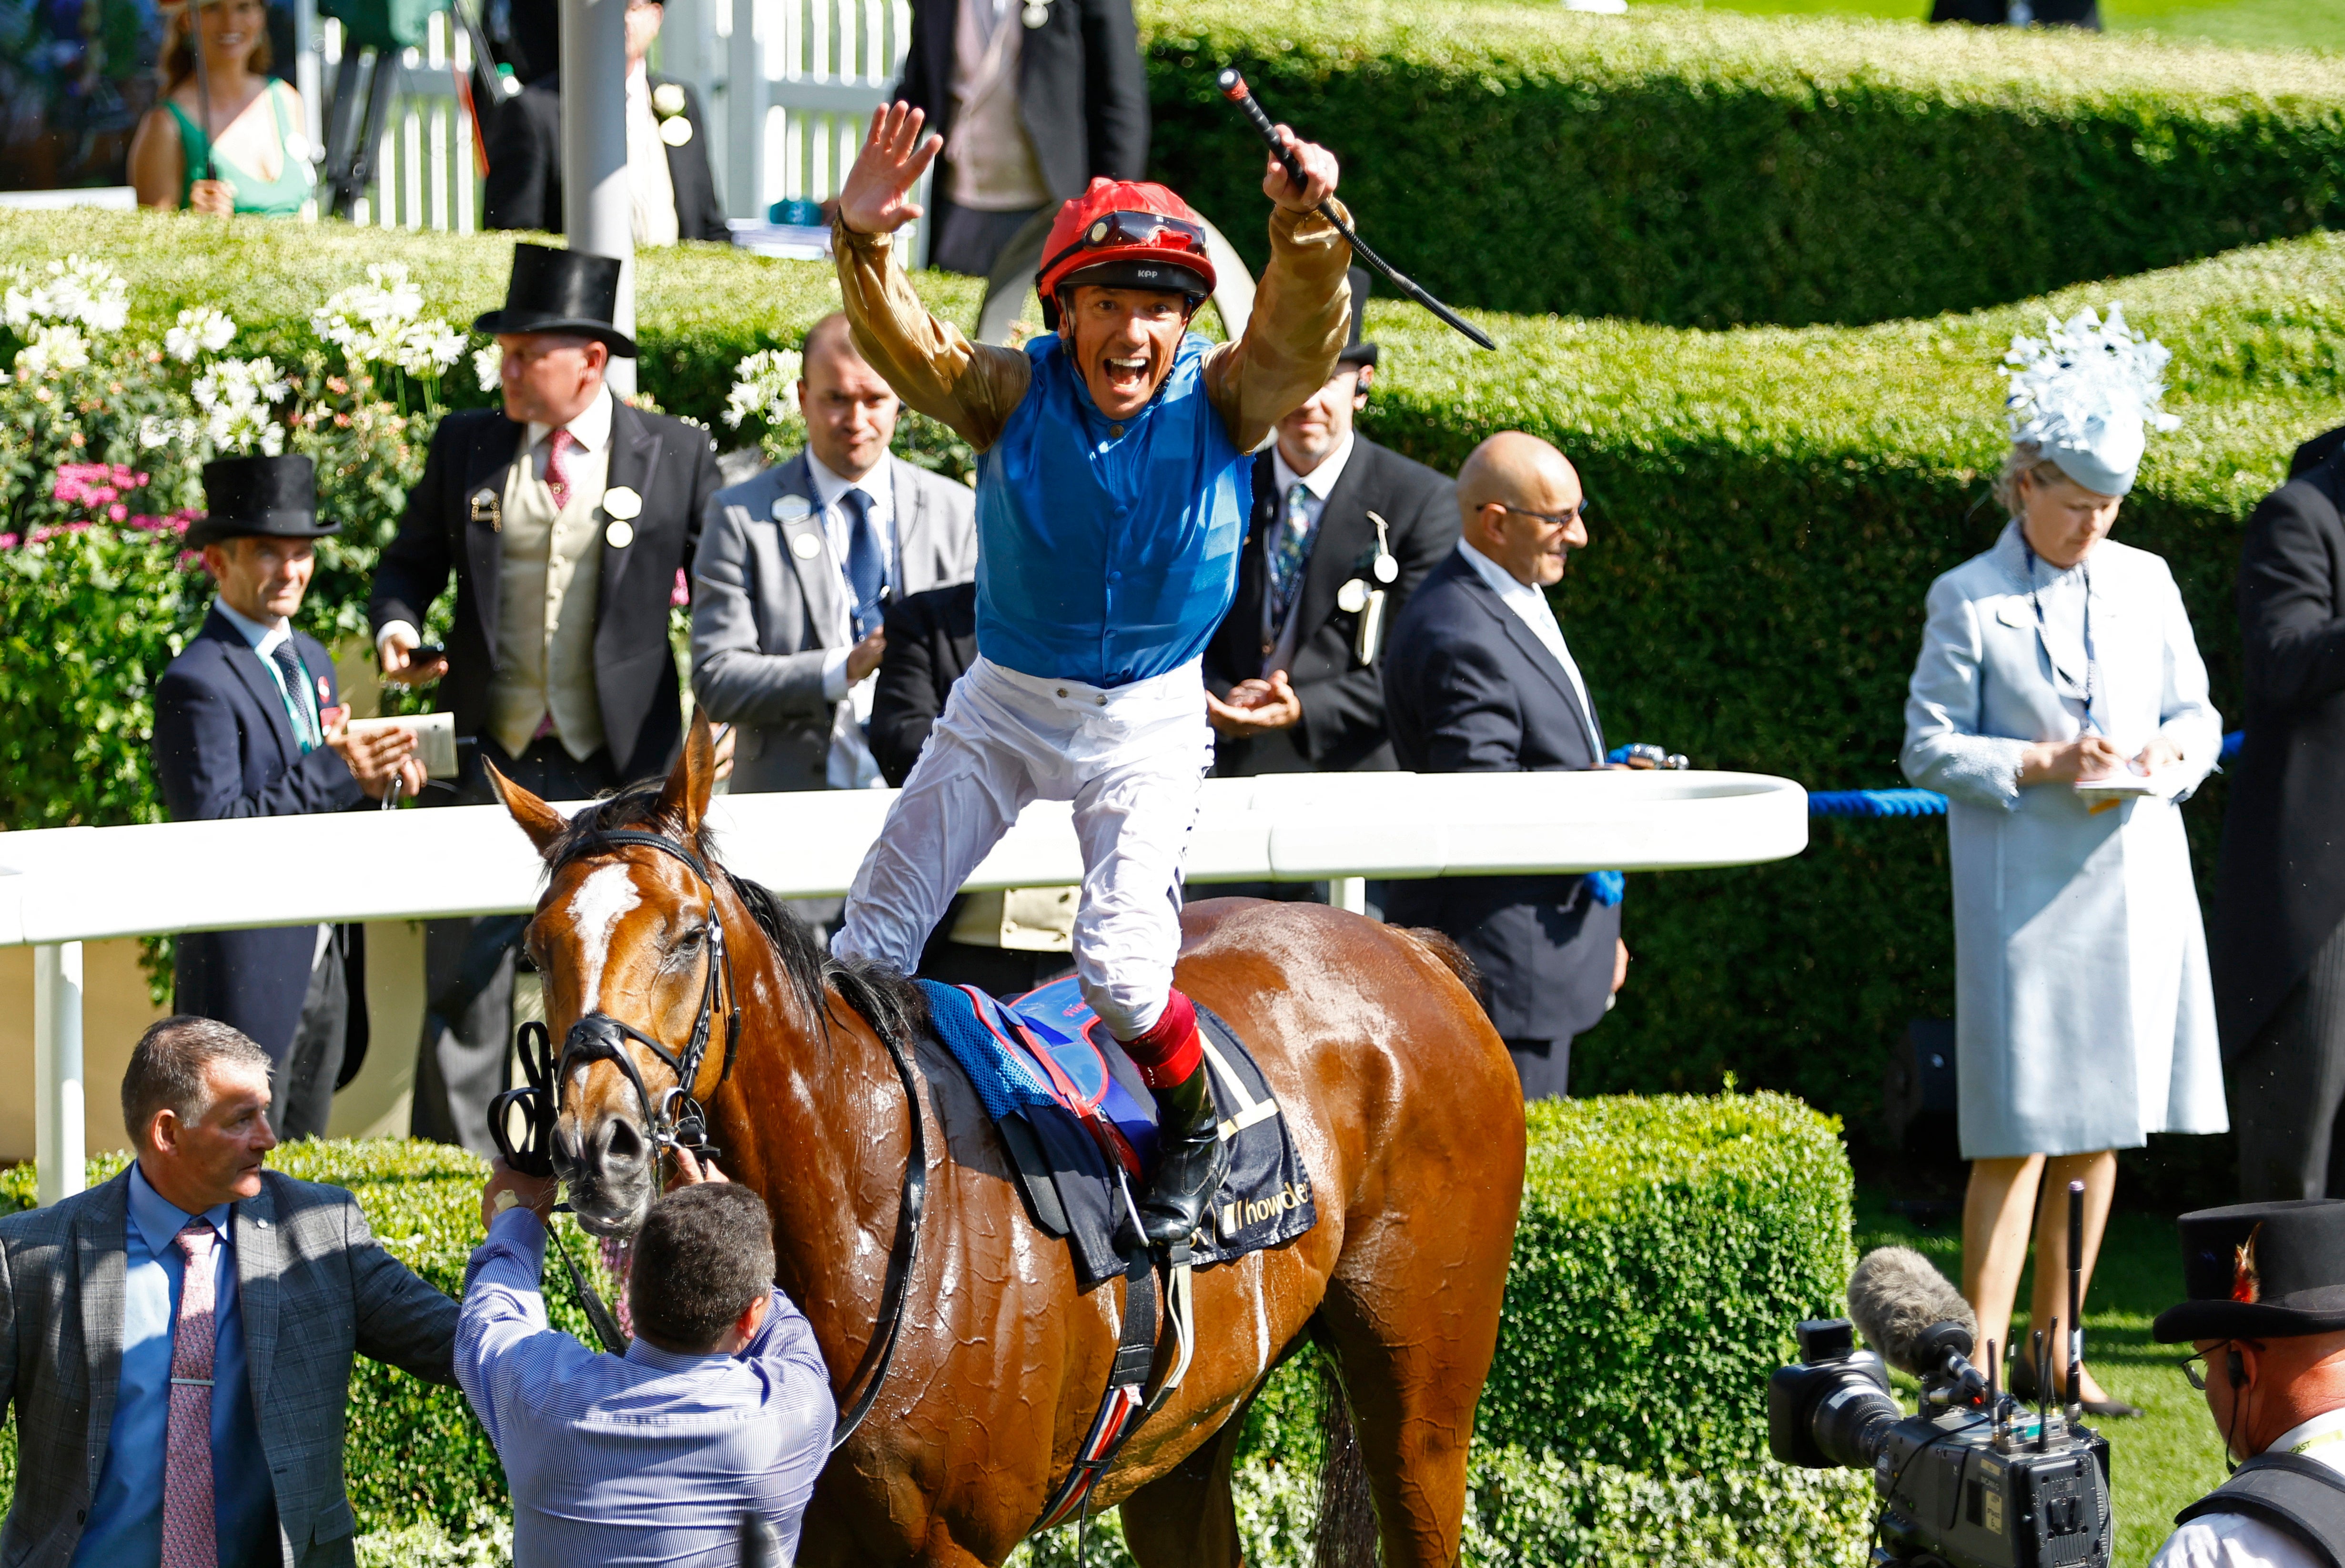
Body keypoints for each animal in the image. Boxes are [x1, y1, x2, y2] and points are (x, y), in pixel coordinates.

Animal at [485, 717, 1529, 1566]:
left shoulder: (950, 1543)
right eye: (536, 948)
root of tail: (1413, 948)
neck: (870, 1210)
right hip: (1185, 1435)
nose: (598, 1144)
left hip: (1422, 1392)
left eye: (686, 934)